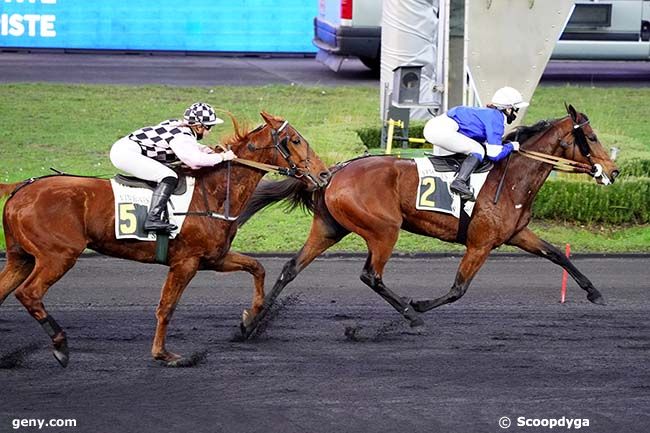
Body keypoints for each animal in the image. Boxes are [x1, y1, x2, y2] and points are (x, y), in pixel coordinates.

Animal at [0, 111, 330, 364]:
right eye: (296, 140)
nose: (325, 174)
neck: (211, 194)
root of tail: (21, 188)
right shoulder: (186, 262)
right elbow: (166, 307)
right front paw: (162, 354)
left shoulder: (214, 258)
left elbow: (257, 267)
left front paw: (249, 320)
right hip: (57, 256)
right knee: (29, 294)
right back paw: (60, 345)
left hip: (21, 258)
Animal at [237, 104, 616, 338]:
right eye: (592, 137)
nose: (613, 171)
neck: (511, 178)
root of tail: (332, 173)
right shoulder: (481, 243)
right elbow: (458, 289)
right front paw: (418, 304)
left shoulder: (516, 234)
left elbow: (557, 253)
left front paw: (595, 292)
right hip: (383, 230)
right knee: (371, 275)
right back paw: (411, 315)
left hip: (330, 228)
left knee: (291, 267)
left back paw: (251, 325)